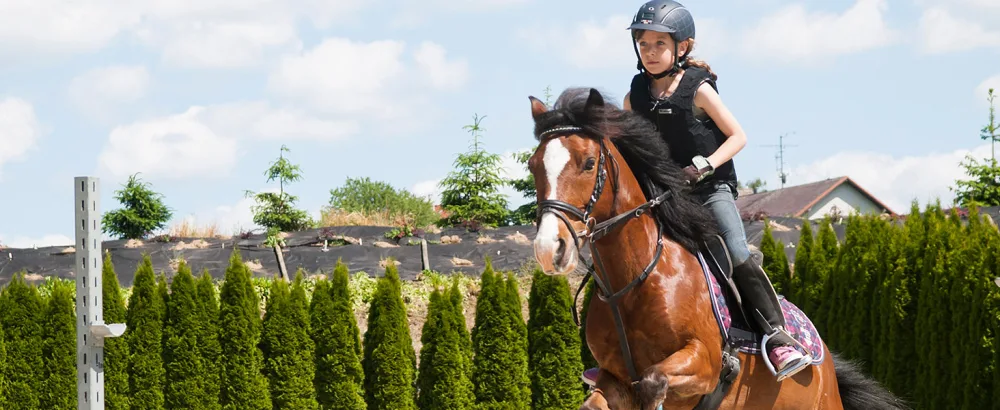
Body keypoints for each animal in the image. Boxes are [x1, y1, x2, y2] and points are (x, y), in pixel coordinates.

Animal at [525, 87, 909, 410]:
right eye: (533, 166)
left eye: (589, 163)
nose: (548, 248)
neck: (633, 281)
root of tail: (826, 360)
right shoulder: (612, 380)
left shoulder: (703, 363)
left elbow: (653, 381)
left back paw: (786, 351)